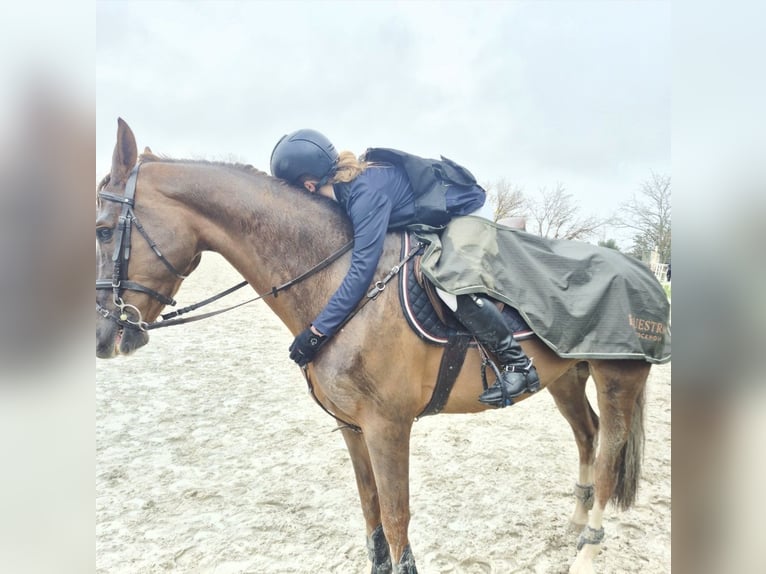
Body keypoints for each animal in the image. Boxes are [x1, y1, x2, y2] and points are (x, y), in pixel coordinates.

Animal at [96, 118, 653, 574]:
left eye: (102, 231)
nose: (104, 337)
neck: (339, 281)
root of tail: (640, 269)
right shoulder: (353, 428)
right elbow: (373, 518)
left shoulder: (388, 427)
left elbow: (396, 518)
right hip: (566, 376)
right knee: (587, 436)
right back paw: (574, 522)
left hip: (618, 378)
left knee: (609, 458)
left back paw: (586, 550)